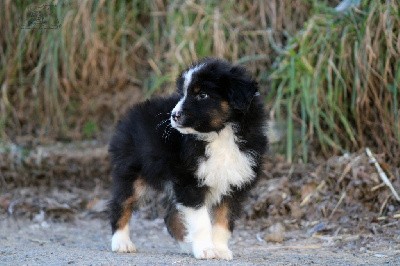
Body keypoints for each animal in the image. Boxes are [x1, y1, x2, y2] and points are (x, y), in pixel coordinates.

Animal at [108, 57, 268, 260]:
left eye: (202, 95)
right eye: (182, 94)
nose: (174, 116)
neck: (220, 135)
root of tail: (130, 114)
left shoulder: (234, 184)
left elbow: (224, 221)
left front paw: (220, 249)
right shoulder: (190, 182)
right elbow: (201, 221)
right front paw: (206, 250)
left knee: (170, 216)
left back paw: (187, 245)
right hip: (132, 173)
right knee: (121, 204)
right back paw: (121, 243)